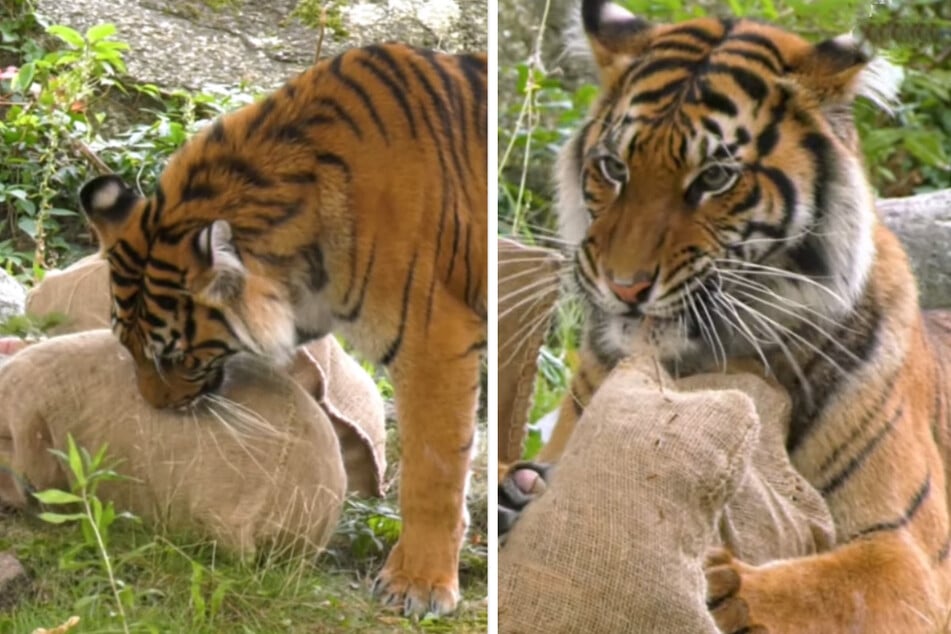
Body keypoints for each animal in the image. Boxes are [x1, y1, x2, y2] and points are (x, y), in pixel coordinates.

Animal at [78, 42, 488, 616]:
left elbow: (436, 470)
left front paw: (418, 585)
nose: (156, 409)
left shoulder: (435, 341)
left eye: (176, 357)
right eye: (127, 347)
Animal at [498, 2, 951, 628]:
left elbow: (827, 587)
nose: (625, 285)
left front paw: (720, 590)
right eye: (614, 167)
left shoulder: (911, 554)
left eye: (714, 177)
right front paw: (515, 493)